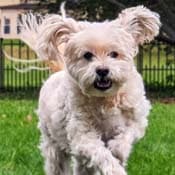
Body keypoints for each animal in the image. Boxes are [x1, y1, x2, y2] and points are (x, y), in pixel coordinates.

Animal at [20, 5, 160, 175]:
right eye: (87, 55)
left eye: (114, 54)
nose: (102, 70)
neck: (105, 99)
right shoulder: (82, 135)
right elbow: (102, 154)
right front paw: (115, 169)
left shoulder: (136, 120)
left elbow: (125, 137)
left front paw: (117, 150)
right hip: (53, 144)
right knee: (58, 163)